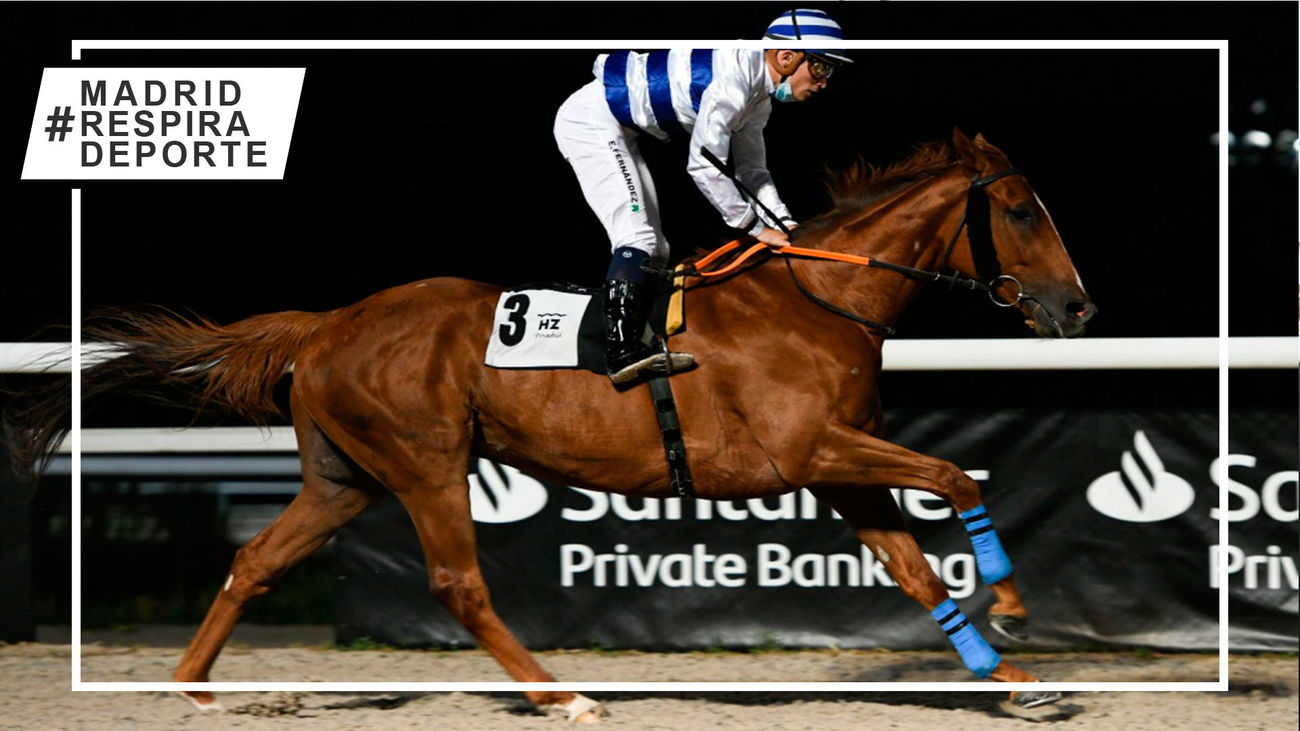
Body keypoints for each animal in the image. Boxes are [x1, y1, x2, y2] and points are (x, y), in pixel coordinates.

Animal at [13, 129, 1093, 721]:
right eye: (1021, 211)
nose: (1078, 308)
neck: (818, 299)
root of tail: (328, 323)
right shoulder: (809, 448)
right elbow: (954, 477)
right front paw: (1010, 604)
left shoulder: (837, 465)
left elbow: (918, 568)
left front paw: (1011, 676)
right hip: (427, 462)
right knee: (457, 582)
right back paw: (560, 690)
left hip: (343, 477)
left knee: (256, 559)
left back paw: (194, 683)